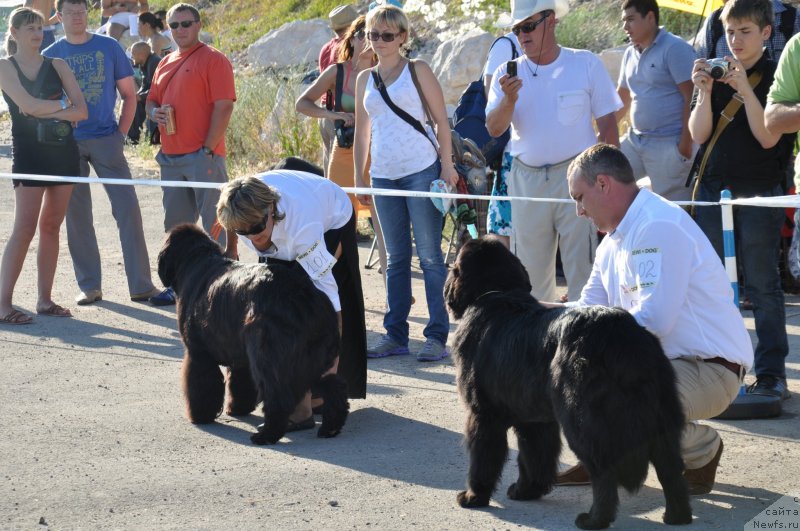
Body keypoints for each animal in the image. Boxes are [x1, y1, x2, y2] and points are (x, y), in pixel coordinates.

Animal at [158, 223, 348, 444]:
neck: (195, 260)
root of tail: (305, 298)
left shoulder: (198, 354)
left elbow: (201, 386)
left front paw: (200, 416)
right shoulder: (241, 357)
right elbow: (241, 383)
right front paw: (239, 408)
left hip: (273, 359)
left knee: (278, 396)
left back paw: (266, 435)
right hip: (309, 361)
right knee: (333, 387)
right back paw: (330, 427)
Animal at [444, 239, 692, 528]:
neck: (497, 292)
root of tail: (620, 335)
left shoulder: (483, 413)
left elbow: (483, 456)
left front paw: (473, 496)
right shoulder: (535, 420)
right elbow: (534, 456)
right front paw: (527, 490)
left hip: (584, 421)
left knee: (604, 471)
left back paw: (594, 519)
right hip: (662, 417)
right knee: (670, 467)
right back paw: (677, 516)